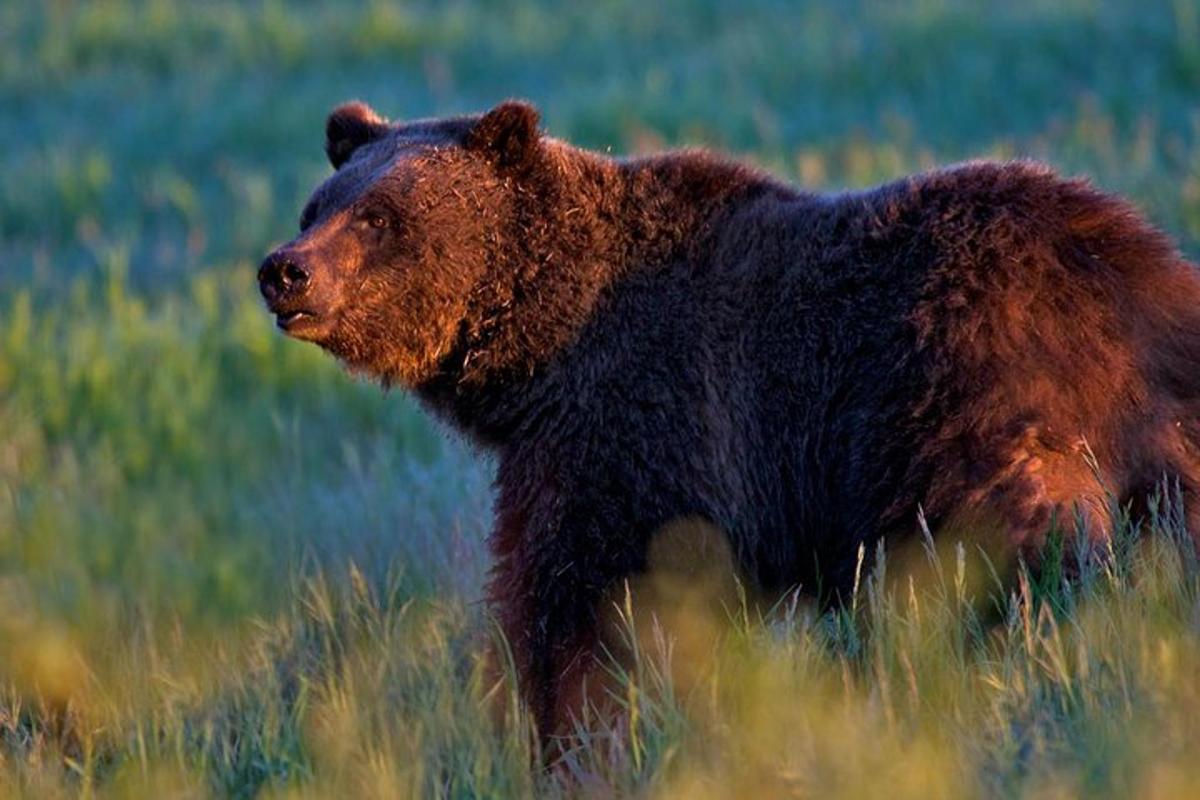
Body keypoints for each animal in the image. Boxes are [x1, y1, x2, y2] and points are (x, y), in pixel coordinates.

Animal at [258, 98, 1200, 738]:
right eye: (317, 205)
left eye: (379, 216)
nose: (284, 270)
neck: (541, 355)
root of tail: (1139, 271)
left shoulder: (646, 415)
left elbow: (584, 599)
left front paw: (578, 728)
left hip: (968, 395)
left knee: (1008, 554)